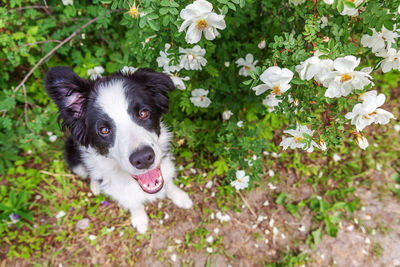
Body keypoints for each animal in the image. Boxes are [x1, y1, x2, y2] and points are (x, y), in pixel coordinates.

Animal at [44, 67, 193, 234]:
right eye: (104, 130)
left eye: (143, 113)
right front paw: (140, 220)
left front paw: (180, 197)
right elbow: (132, 202)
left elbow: (168, 182)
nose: (143, 159)